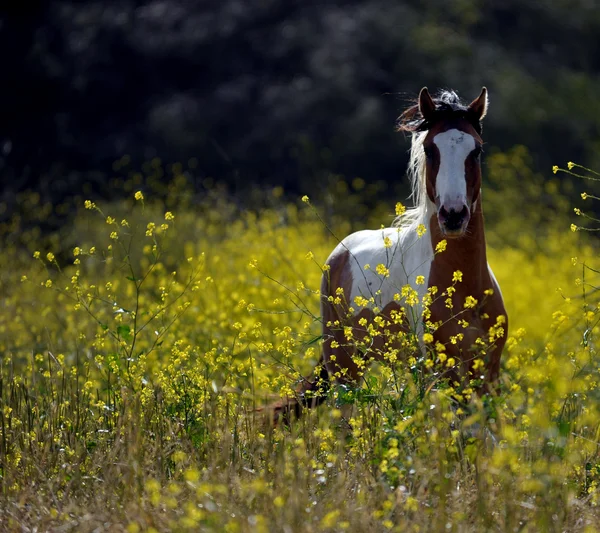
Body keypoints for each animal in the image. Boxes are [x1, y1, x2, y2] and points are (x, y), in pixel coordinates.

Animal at [270, 85, 508, 422]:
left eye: (475, 151)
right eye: (430, 150)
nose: (453, 216)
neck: (465, 287)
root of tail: (340, 252)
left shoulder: (488, 372)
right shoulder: (444, 372)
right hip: (343, 362)